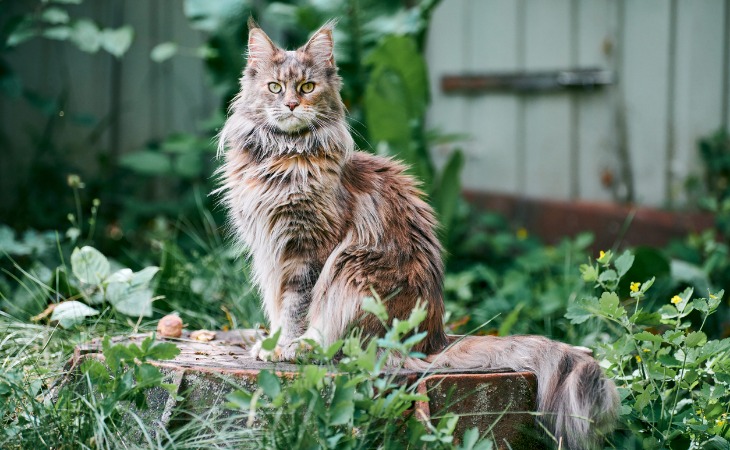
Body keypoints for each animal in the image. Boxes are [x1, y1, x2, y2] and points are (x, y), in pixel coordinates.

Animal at [213, 20, 616, 450]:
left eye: (307, 87)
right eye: (275, 88)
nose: (290, 105)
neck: (281, 156)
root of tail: (434, 340)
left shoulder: (308, 251)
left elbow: (296, 309)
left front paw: (287, 348)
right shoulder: (271, 252)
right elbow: (279, 309)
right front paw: (270, 344)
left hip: (351, 269)